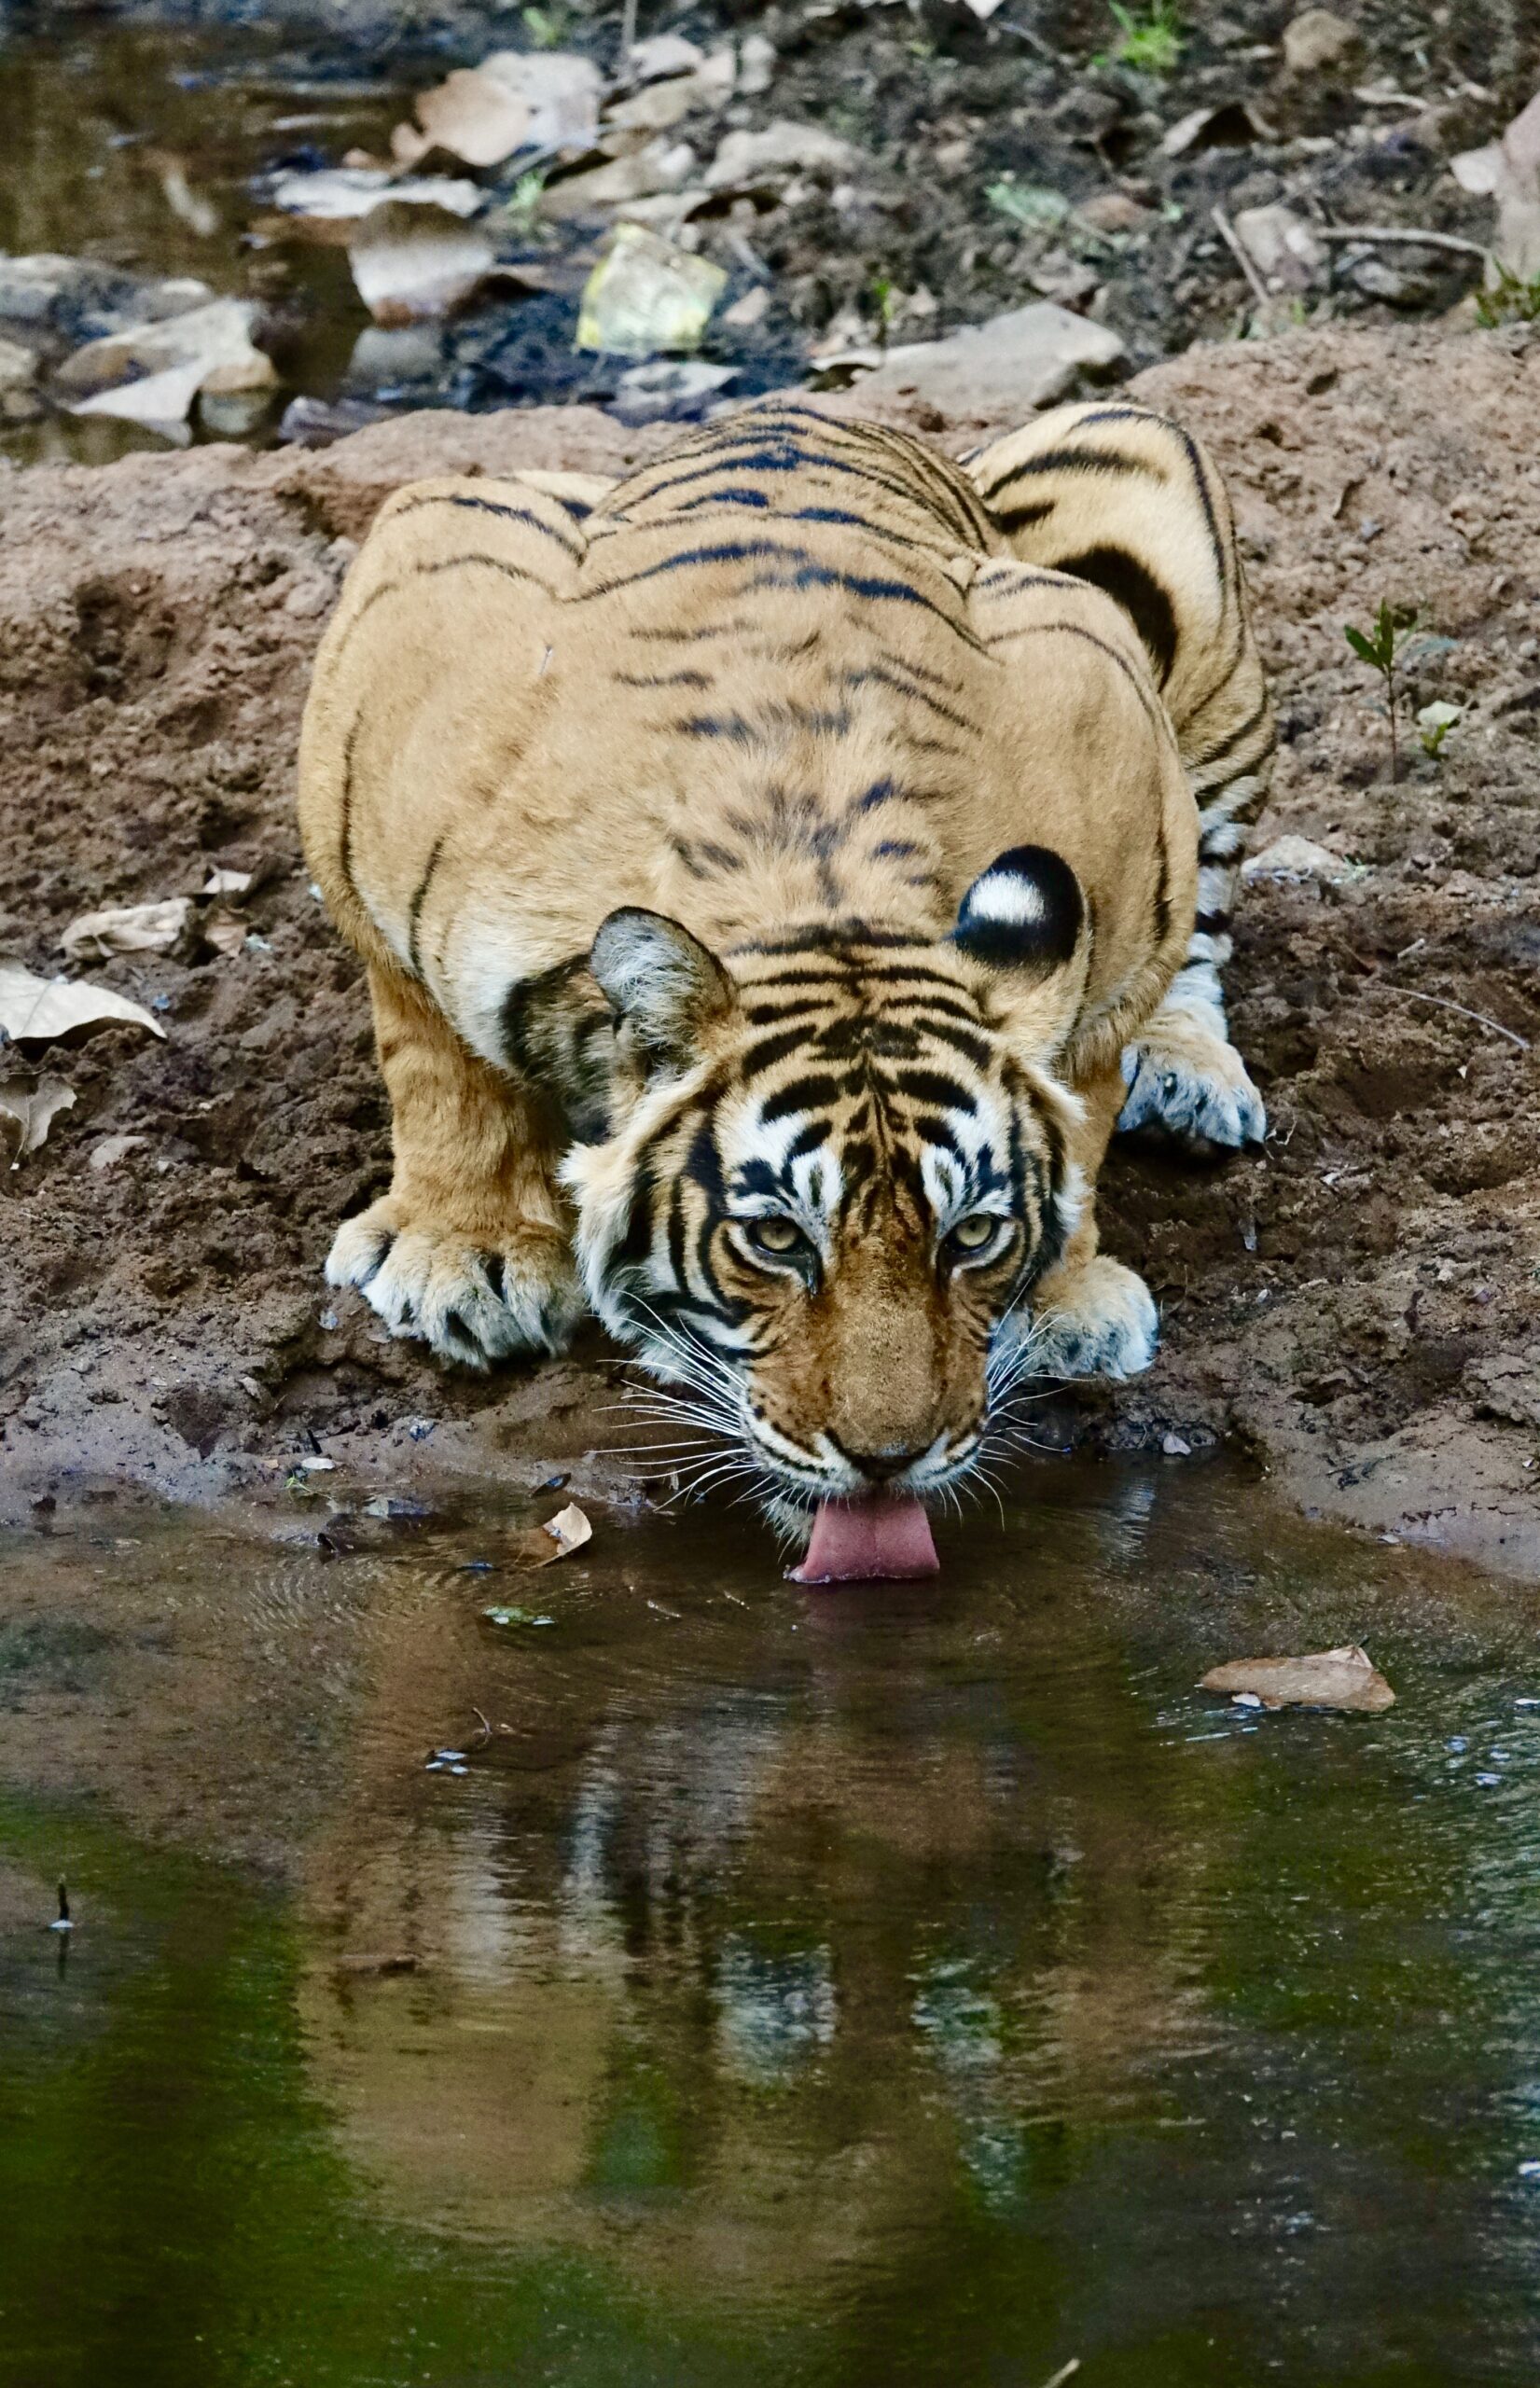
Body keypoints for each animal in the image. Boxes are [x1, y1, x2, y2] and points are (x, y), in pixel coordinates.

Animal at [295, 396, 1269, 1547]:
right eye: (773, 1240)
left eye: (972, 1234)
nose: (888, 1460)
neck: (818, 885)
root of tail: (807, 404)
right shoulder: (408, 627)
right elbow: (435, 1054)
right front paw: (468, 1254)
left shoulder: (1112, 738)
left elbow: (1089, 1071)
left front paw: (1066, 1300)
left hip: (1137, 457)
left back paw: (1191, 1073)